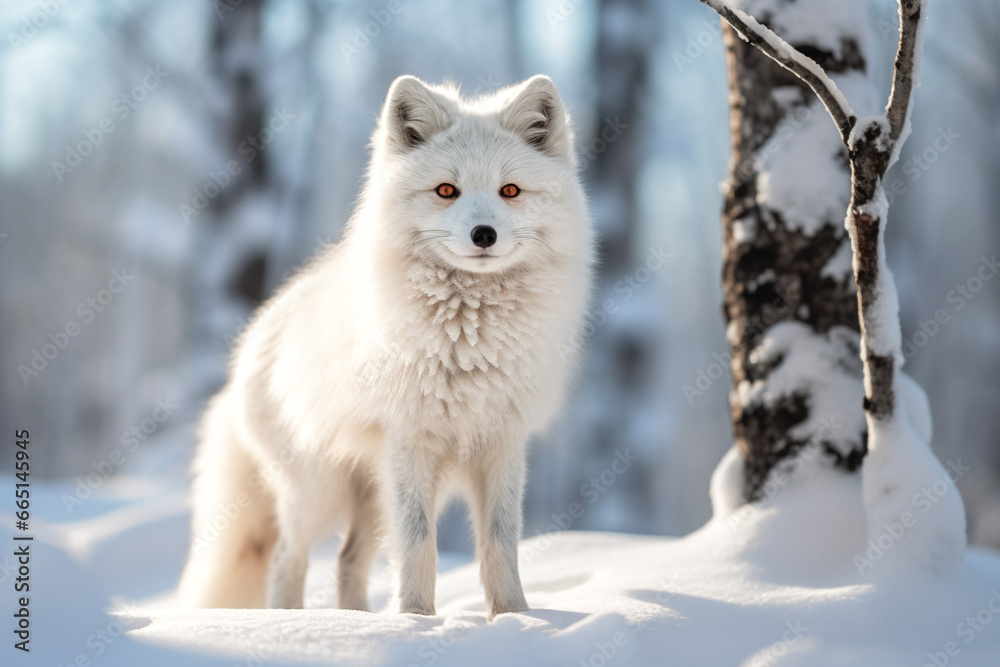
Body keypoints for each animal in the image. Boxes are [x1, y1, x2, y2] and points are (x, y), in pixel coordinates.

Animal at [179, 74, 592, 620]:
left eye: (510, 191)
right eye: (446, 190)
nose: (484, 234)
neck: (468, 343)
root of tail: (253, 341)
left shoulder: (501, 445)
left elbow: (500, 544)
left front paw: (514, 618)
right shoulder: (408, 443)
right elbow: (419, 545)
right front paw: (417, 620)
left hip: (375, 495)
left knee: (347, 561)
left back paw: (356, 620)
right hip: (321, 490)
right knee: (288, 558)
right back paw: (289, 620)